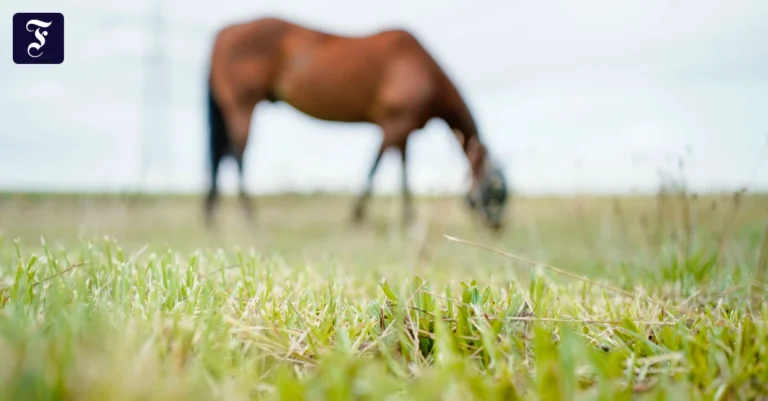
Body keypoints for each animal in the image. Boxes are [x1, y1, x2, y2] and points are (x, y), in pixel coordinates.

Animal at [204, 16, 509, 231]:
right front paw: (358, 216)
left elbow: (403, 171)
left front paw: (408, 219)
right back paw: (249, 216)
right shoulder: (394, 125)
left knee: (220, 157)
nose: (497, 226)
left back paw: (211, 216)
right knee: (236, 156)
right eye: (495, 191)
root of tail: (223, 33)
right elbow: (375, 167)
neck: (421, 69)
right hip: (243, 105)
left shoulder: (404, 129)